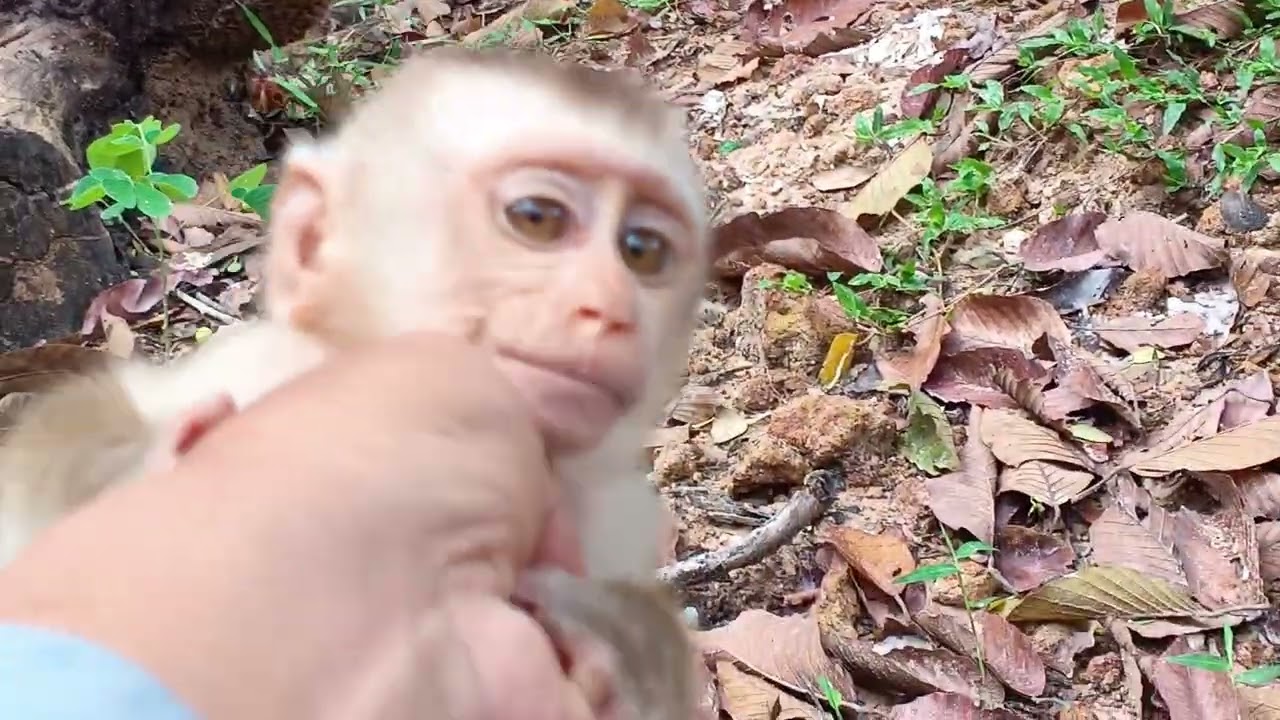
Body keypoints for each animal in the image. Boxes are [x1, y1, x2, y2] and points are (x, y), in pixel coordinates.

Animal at [0, 48, 708, 720]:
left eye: (642, 251)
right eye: (537, 218)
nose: (610, 308)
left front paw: (616, 641)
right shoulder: (256, 363)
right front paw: (154, 463)